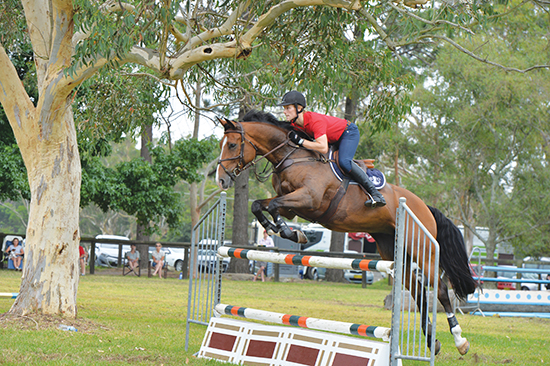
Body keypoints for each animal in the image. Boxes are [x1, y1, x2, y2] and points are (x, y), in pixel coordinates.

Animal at [216, 109, 478, 354]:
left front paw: (288, 232)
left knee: (440, 290)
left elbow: (271, 206)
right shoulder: (291, 207)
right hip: (393, 253)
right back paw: (433, 342)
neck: (294, 157)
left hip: (422, 251)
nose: (220, 181)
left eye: (232, 145)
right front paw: (280, 230)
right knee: (418, 291)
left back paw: (461, 341)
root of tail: (423, 206)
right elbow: (259, 205)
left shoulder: (308, 200)